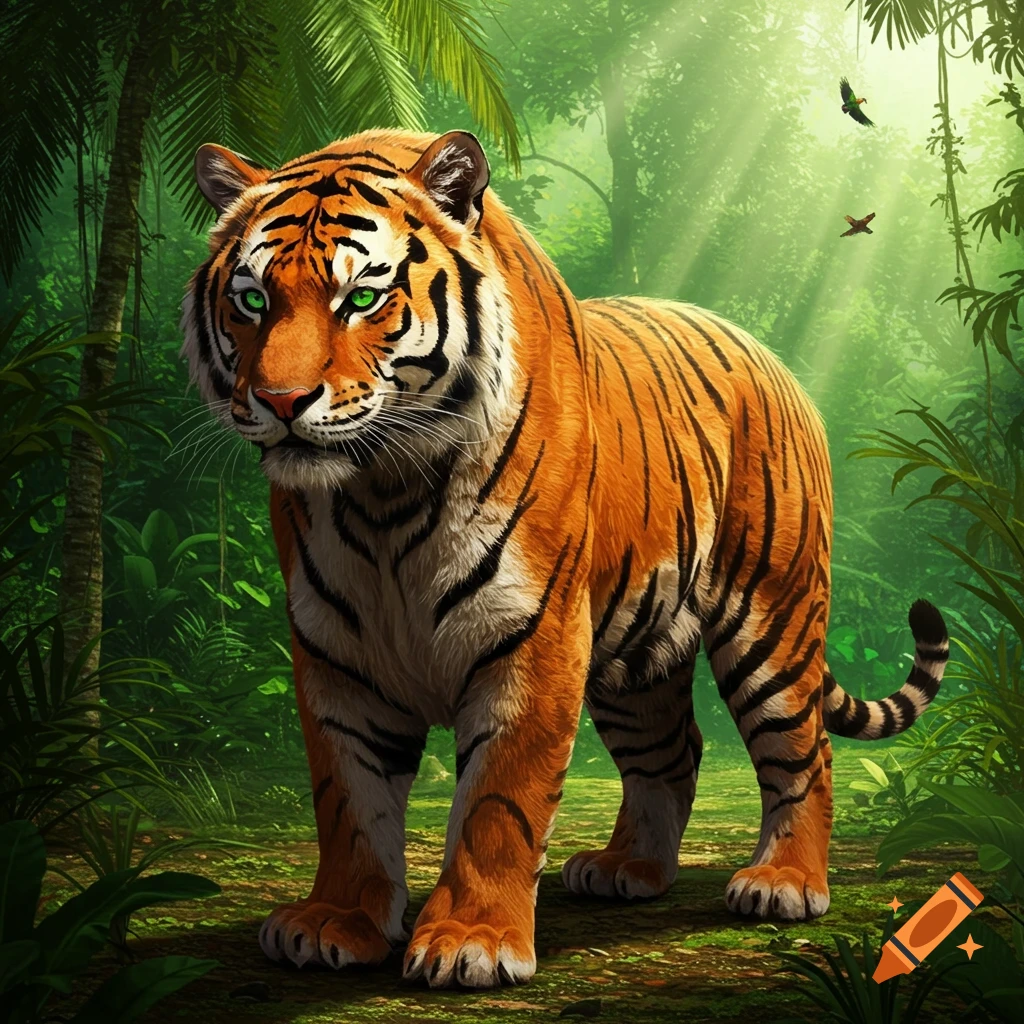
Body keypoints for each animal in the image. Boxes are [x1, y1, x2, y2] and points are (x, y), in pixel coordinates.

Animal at [182, 128, 949, 989]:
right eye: (252, 301)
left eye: (362, 299)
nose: (280, 402)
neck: (384, 493)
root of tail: (775, 361)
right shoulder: (335, 654)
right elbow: (348, 798)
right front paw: (336, 922)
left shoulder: (533, 637)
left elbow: (499, 799)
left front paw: (473, 940)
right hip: (639, 654)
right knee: (672, 754)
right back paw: (627, 870)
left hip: (771, 618)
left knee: (804, 752)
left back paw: (784, 882)